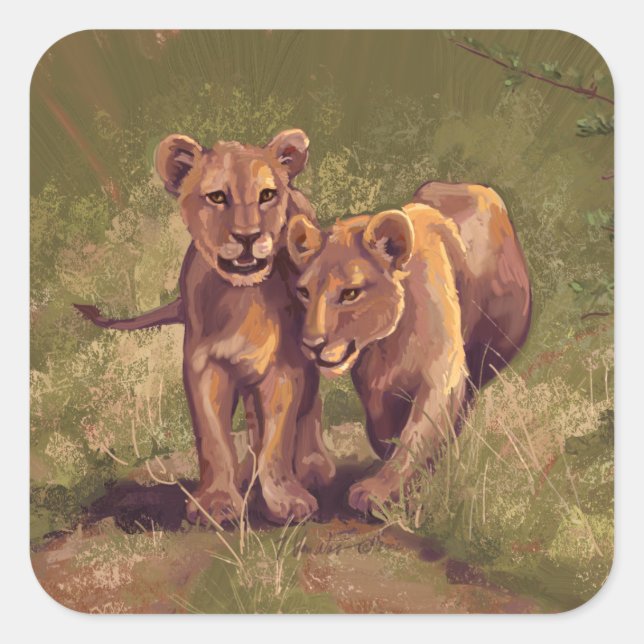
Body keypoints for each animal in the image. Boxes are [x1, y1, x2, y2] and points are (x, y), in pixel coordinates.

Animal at [75, 129, 335, 524]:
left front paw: (286, 499)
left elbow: (279, 437)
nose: (248, 236)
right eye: (217, 197)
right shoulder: (204, 367)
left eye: (267, 195)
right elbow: (214, 440)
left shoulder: (285, 367)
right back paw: (247, 476)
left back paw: (312, 467)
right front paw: (217, 502)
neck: (244, 297)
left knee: (309, 406)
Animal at [286, 182, 531, 514]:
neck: (388, 342)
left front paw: (377, 491)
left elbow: (416, 434)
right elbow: (385, 424)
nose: (312, 345)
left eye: (350, 293)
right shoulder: (374, 384)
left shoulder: (442, 374)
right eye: (304, 292)